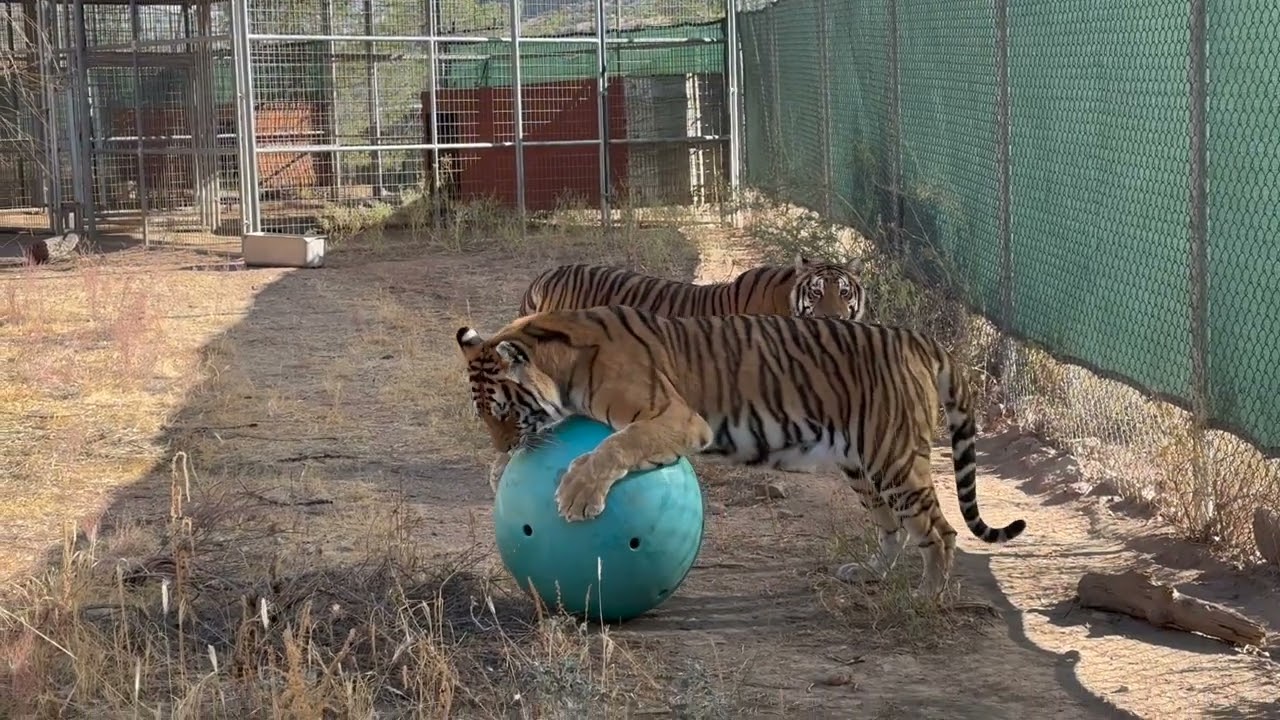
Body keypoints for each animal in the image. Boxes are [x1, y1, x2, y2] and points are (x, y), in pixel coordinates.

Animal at [455, 305, 1026, 601]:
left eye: (504, 412)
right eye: (483, 416)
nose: (502, 444)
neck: (564, 362)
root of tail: (916, 338)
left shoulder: (677, 419)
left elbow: (618, 444)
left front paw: (576, 494)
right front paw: (500, 470)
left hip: (893, 459)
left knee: (939, 532)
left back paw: (925, 597)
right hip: (861, 467)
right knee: (894, 529)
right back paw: (867, 573)